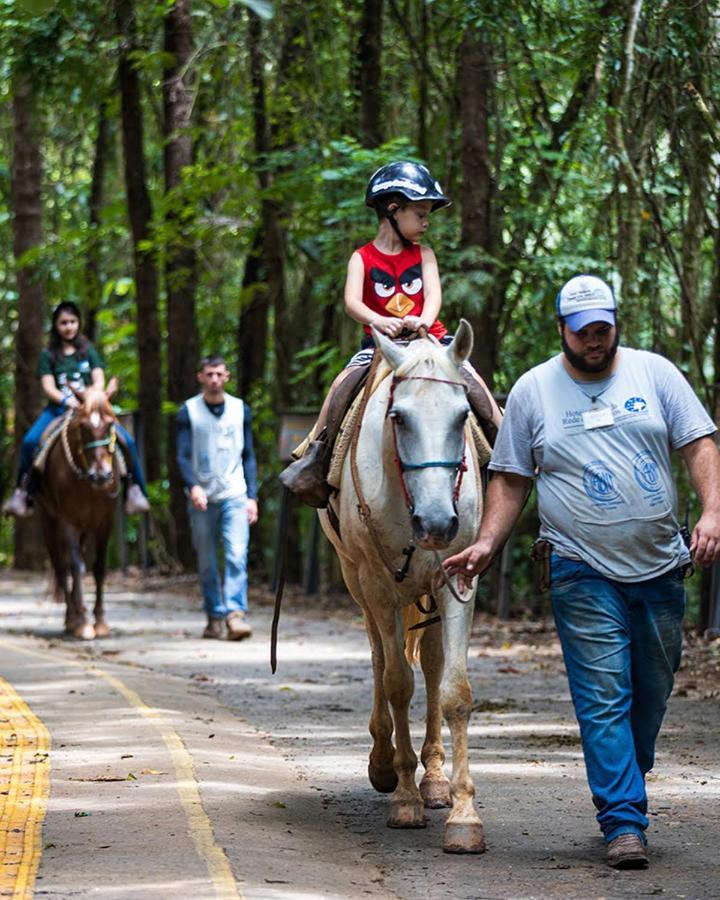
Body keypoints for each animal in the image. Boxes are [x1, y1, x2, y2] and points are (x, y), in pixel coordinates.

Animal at [37, 380, 121, 640]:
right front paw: (82, 622)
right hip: (49, 522)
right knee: (61, 565)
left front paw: (101, 622)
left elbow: (99, 567)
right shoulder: (68, 521)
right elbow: (76, 566)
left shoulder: (106, 522)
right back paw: (71, 618)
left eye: (111, 423)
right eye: (82, 426)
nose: (101, 475)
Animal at [320, 320, 484, 856]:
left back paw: (434, 780)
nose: (436, 523)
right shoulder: (377, 584)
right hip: (358, 580)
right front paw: (405, 798)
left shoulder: (458, 578)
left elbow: (454, 691)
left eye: (462, 416)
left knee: (430, 662)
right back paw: (384, 763)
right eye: (399, 417)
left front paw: (462, 815)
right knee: (379, 656)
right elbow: (396, 682)